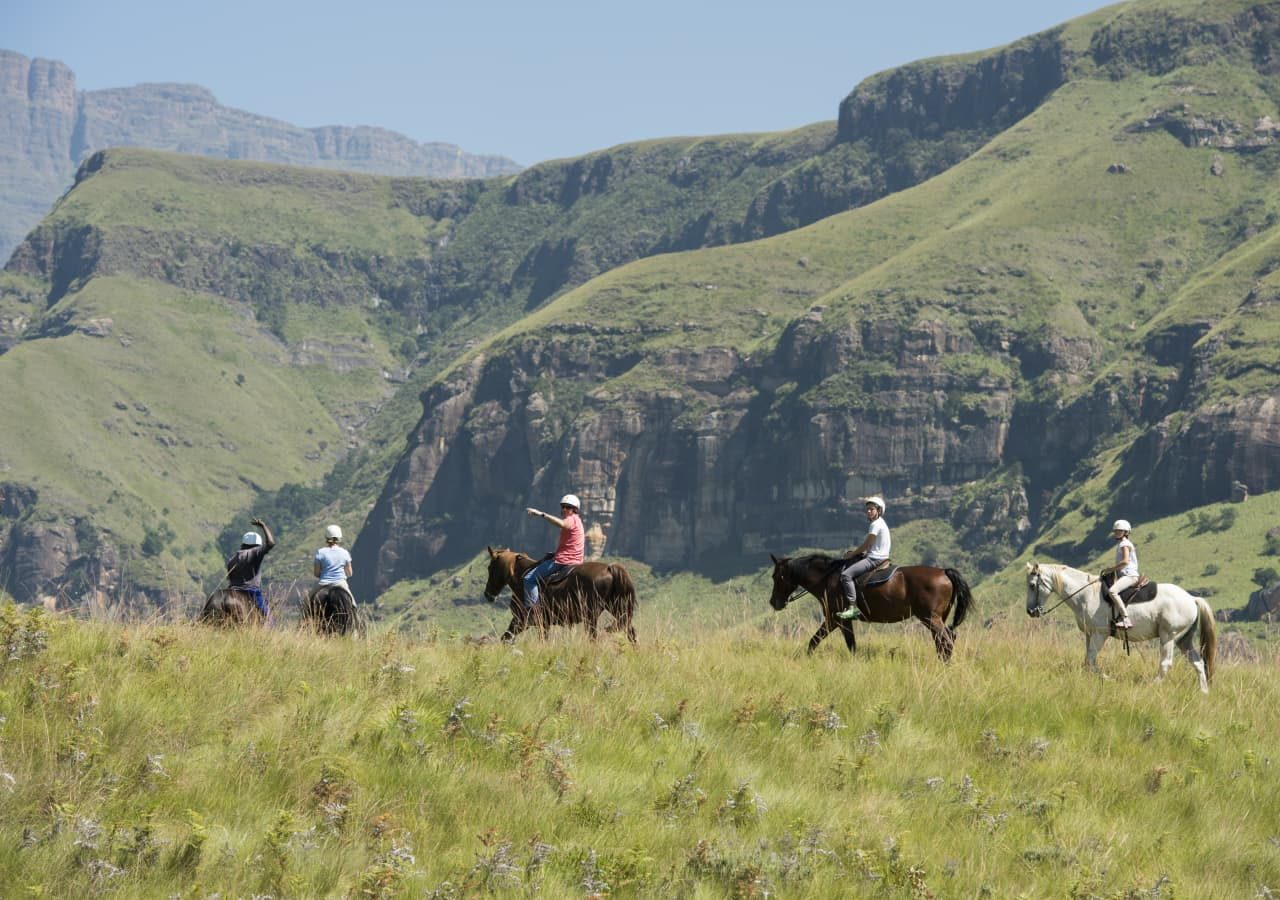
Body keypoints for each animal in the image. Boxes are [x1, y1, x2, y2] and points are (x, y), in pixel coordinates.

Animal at [481, 545, 637, 645]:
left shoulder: (524, 621)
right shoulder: (531, 624)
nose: (488, 594)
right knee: (631, 633)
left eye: (490, 567)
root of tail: (609, 568)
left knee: (594, 638)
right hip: (617, 609)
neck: (521, 578)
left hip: (591, 617)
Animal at [768, 547, 967, 660]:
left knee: (946, 640)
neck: (827, 579)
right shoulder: (839, 621)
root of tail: (944, 572)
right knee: (944, 640)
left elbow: (819, 641)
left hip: (930, 617)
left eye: (776, 576)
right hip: (937, 618)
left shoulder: (836, 619)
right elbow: (844, 644)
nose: (774, 602)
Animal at [1024, 563, 1213, 696]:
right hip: (1183, 639)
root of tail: (1192, 599)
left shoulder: (1100, 634)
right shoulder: (1089, 634)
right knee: (1198, 662)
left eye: (1032, 585)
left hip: (1168, 636)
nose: (1031, 612)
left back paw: (1152, 685)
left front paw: (1108, 679)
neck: (1086, 595)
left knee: (1166, 663)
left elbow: (1091, 660)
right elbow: (1087, 660)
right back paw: (1204, 692)